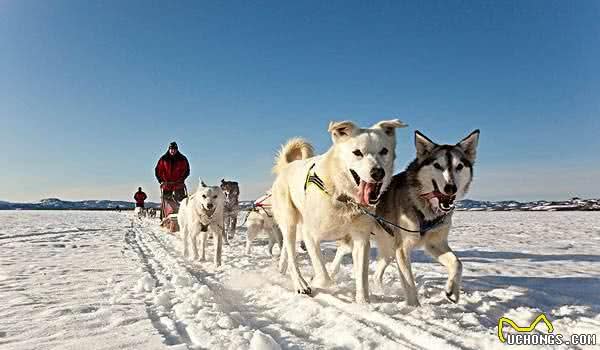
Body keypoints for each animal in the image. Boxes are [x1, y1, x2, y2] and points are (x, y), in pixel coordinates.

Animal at [272, 120, 408, 304]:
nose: (378, 172)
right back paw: (300, 283)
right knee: (292, 255)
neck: (342, 196)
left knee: (287, 248)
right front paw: (317, 281)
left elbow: (362, 276)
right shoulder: (310, 234)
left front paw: (363, 303)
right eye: (357, 152)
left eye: (384, 151)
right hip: (289, 221)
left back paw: (282, 268)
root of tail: (288, 166)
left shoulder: (360, 239)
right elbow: (324, 277)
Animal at [330, 129, 480, 306]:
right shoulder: (402, 249)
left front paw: (453, 290)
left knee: (376, 274)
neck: (425, 208)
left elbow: (458, 264)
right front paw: (415, 308)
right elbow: (409, 283)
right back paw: (330, 275)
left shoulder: (435, 243)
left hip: (388, 248)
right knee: (341, 251)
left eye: (459, 166)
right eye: (437, 165)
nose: (451, 188)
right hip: (361, 241)